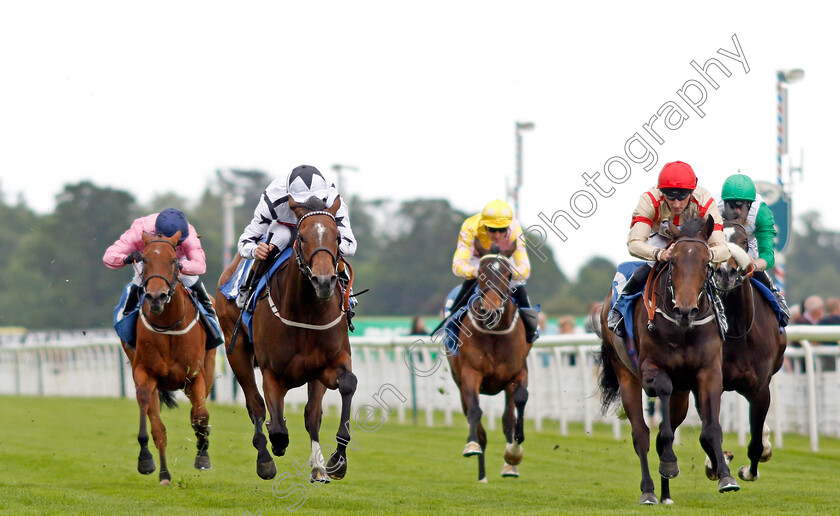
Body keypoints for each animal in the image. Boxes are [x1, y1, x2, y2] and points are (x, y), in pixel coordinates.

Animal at [124, 232, 218, 486]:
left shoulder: (194, 375)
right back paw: (164, 472)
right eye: (144, 259)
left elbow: (201, 416)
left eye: (174, 260)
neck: (168, 326)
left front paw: (203, 456)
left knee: (197, 412)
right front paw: (148, 462)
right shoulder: (144, 374)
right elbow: (155, 426)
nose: (156, 297)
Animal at [215, 196, 356, 482]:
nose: (324, 281)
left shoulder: (329, 365)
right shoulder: (272, 372)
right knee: (255, 405)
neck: (306, 312)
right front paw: (274, 447)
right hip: (236, 350)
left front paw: (337, 460)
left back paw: (318, 467)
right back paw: (265, 458)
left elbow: (346, 385)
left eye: (337, 236)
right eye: (301, 237)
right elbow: (276, 425)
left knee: (311, 414)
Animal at [446, 240, 532, 482]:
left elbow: (519, 402)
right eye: (480, 274)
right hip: (459, 382)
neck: (494, 334)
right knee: (475, 419)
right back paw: (482, 474)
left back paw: (509, 466)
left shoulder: (518, 372)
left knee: (507, 420)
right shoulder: (470, 373)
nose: (491, 310)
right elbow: (475, 412)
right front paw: (471, 445)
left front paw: (514, 452)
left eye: (508, 274)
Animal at [596, 214, 740, 504]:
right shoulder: (651, 370)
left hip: (682, 395)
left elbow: (711, 427)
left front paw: (726, 477)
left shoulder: (709, 372)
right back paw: (649, 490)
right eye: (672, 261)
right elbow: (661, 406)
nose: (685, 309)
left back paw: (665, 493)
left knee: (666, 427)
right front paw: (670, 462)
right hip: (626, 375)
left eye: (706, 262)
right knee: (641, 434)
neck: (683, 329)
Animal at [704, 209, 788, 480]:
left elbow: (756, 444)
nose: (725, 273)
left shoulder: (760, 388)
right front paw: (717, 463)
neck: (738, 332)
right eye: (713, 241)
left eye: (742, 241)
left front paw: (749, 470)